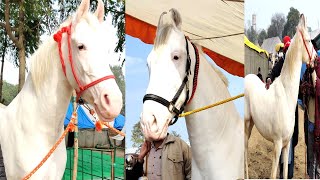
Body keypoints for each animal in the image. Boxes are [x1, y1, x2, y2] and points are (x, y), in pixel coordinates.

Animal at [245, 14, 316, 179]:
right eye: (309, 41)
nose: (316, 58)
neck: (286, 97)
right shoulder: (277, 144)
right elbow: (273, 174)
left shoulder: (286, 144)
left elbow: (283, 172)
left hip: (251, 123)